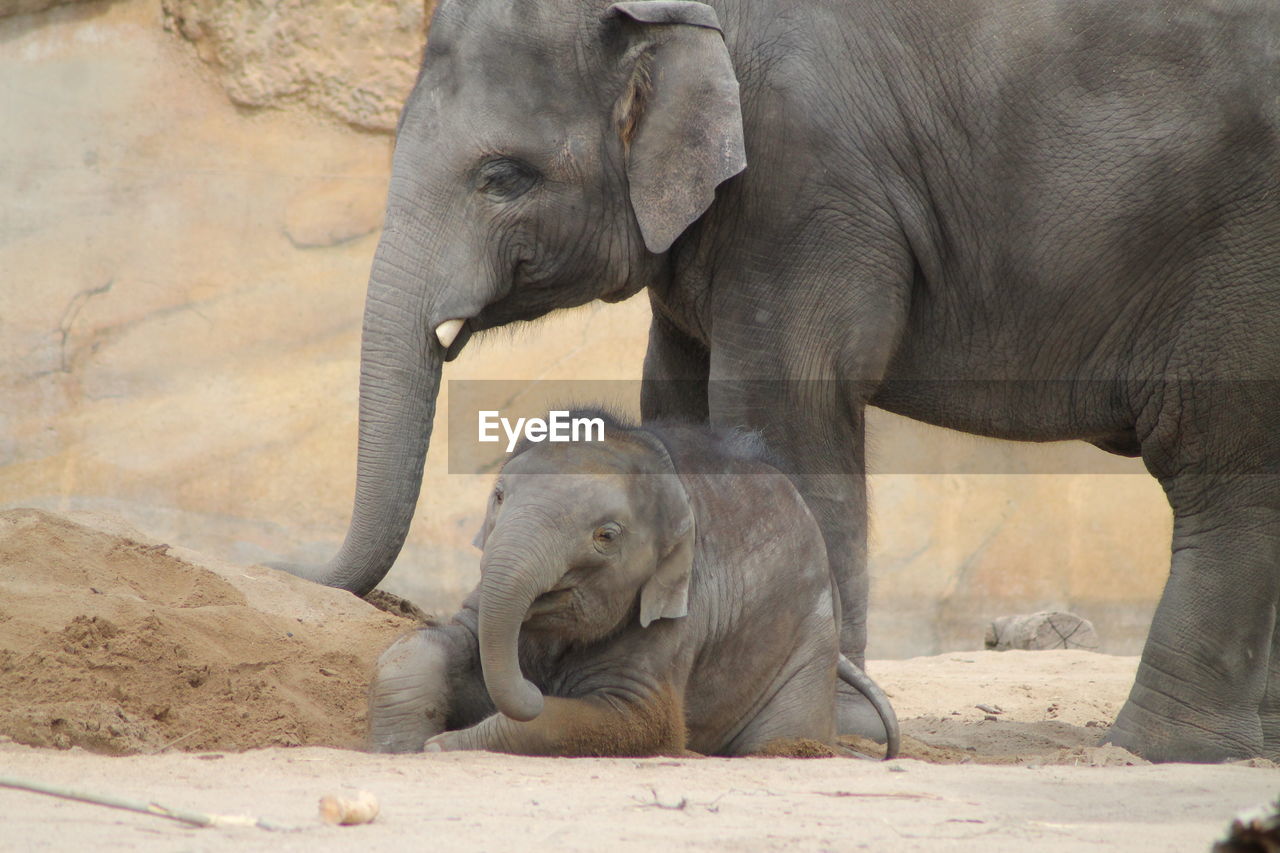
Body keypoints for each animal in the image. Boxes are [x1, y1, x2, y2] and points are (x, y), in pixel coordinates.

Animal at [366, 412, 896, 758]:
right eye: (498, 497)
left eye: (607, 536)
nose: (536, 685)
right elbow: (422, 649)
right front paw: (399, 746)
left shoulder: (674, 617)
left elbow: (637, 723)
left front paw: (442, 746)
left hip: (807, 643)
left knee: (780, 740)